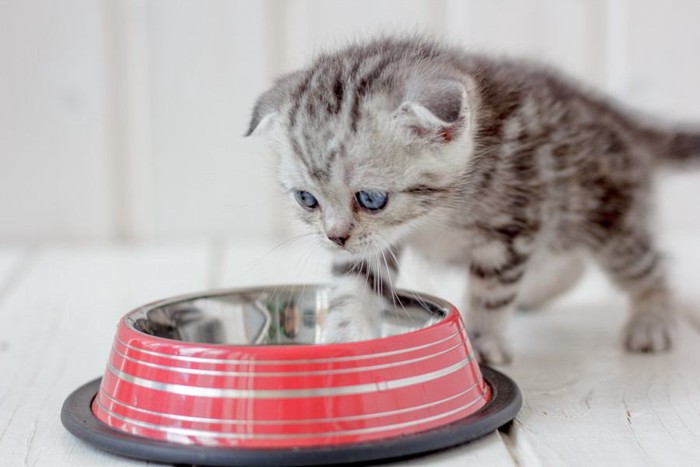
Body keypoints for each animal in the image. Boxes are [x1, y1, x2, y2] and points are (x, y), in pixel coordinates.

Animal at [246, 36, 700, 366]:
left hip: (607, 215)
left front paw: (481, 340)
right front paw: (347, 341)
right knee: (570, 261)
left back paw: (654, 319)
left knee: (645, 267)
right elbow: (355, 285)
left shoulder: (512, 232)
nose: (335, 237)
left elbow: (491, 293)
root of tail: (621, 120)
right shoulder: (371, 247)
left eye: (371, 198)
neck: (436, 212)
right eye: (307, 199)